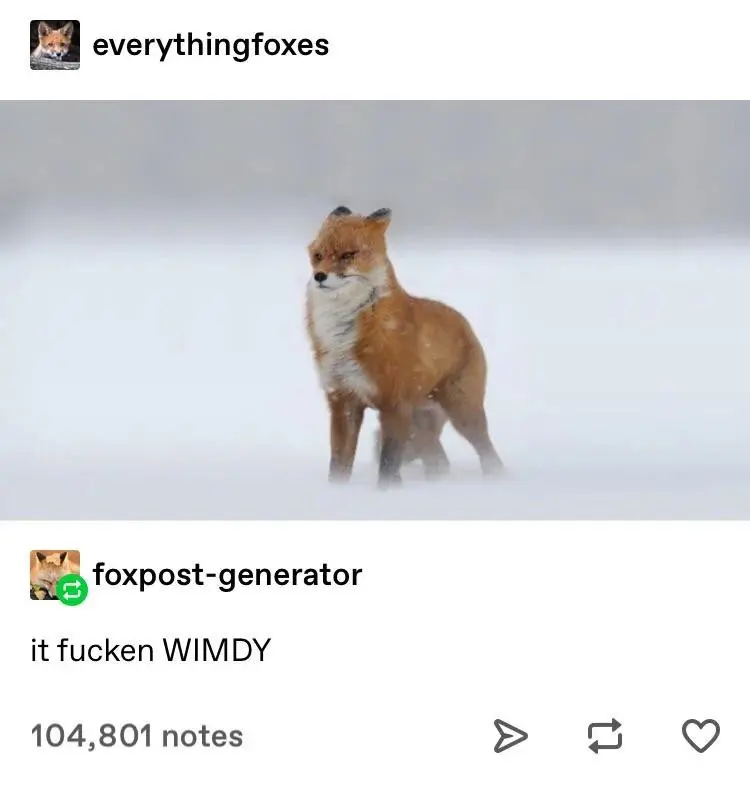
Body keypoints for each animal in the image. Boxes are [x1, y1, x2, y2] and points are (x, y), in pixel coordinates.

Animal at [305, 205, 503, 487]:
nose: (319, 276)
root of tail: (464, 322)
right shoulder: (343, 400)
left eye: (347, 255)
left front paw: (387, 493)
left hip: (462, 412)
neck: (345, 334)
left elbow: (389, 464)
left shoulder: (394, 403)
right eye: (318, 255)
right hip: (419, 425)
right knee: (439, 462)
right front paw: (337, 492)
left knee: (488, 455)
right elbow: (339, 465)